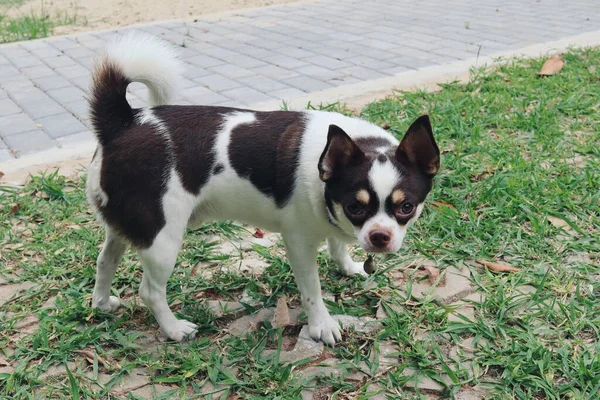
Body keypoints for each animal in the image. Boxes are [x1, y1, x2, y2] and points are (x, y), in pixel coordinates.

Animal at [85, 34, 440, 346]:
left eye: (406, 207)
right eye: (356, 207)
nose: (380, 236)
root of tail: (122, 124)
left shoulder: (332, 217)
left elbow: (338, 245)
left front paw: (348, 266)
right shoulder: (299, 243)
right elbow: (312, 291)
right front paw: (322, 325)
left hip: (125, 223)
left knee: (105, 261)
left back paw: (102, 303)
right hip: (161, 239)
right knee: (150, 291)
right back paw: (173, 330)